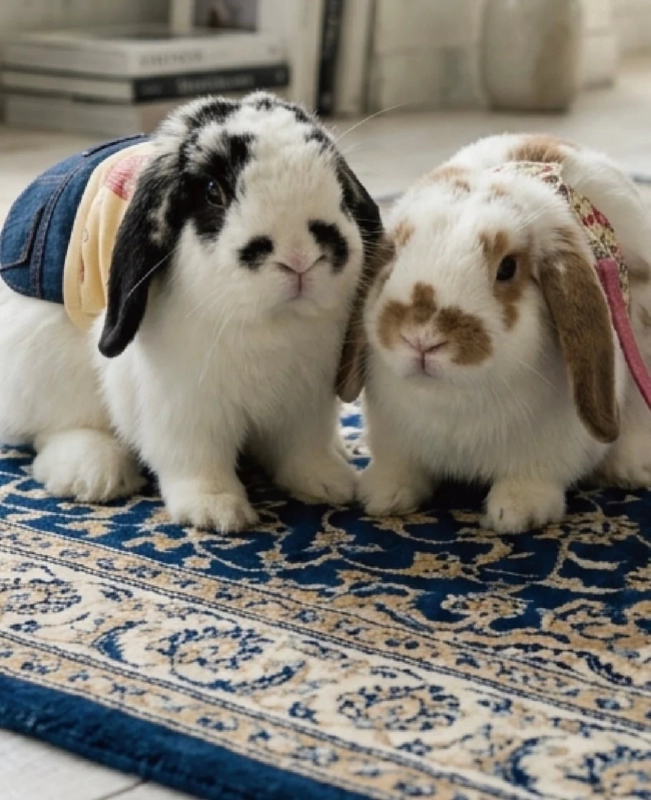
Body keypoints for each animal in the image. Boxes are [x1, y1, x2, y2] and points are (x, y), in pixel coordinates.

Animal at [0, 92, 387, 533]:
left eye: (338, 183)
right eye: (213, 192)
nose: (300, 259)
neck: (268, 322)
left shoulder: (306, 400)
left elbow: (304, 449)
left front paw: (329, 484)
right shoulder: (185, 405)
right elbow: (195, 459)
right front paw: (216, 512)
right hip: (43, 364)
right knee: (53, 429)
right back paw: (92, 474)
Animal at [337, 133, 651, 533]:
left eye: (507, 268)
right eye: (394, 256)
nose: (422, 338)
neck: (453, 399)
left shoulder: (547, 452)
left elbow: (532, 479)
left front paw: (516, 512)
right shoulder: (395, 437)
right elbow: (400, 468)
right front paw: (383, 495)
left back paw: (632, 469)